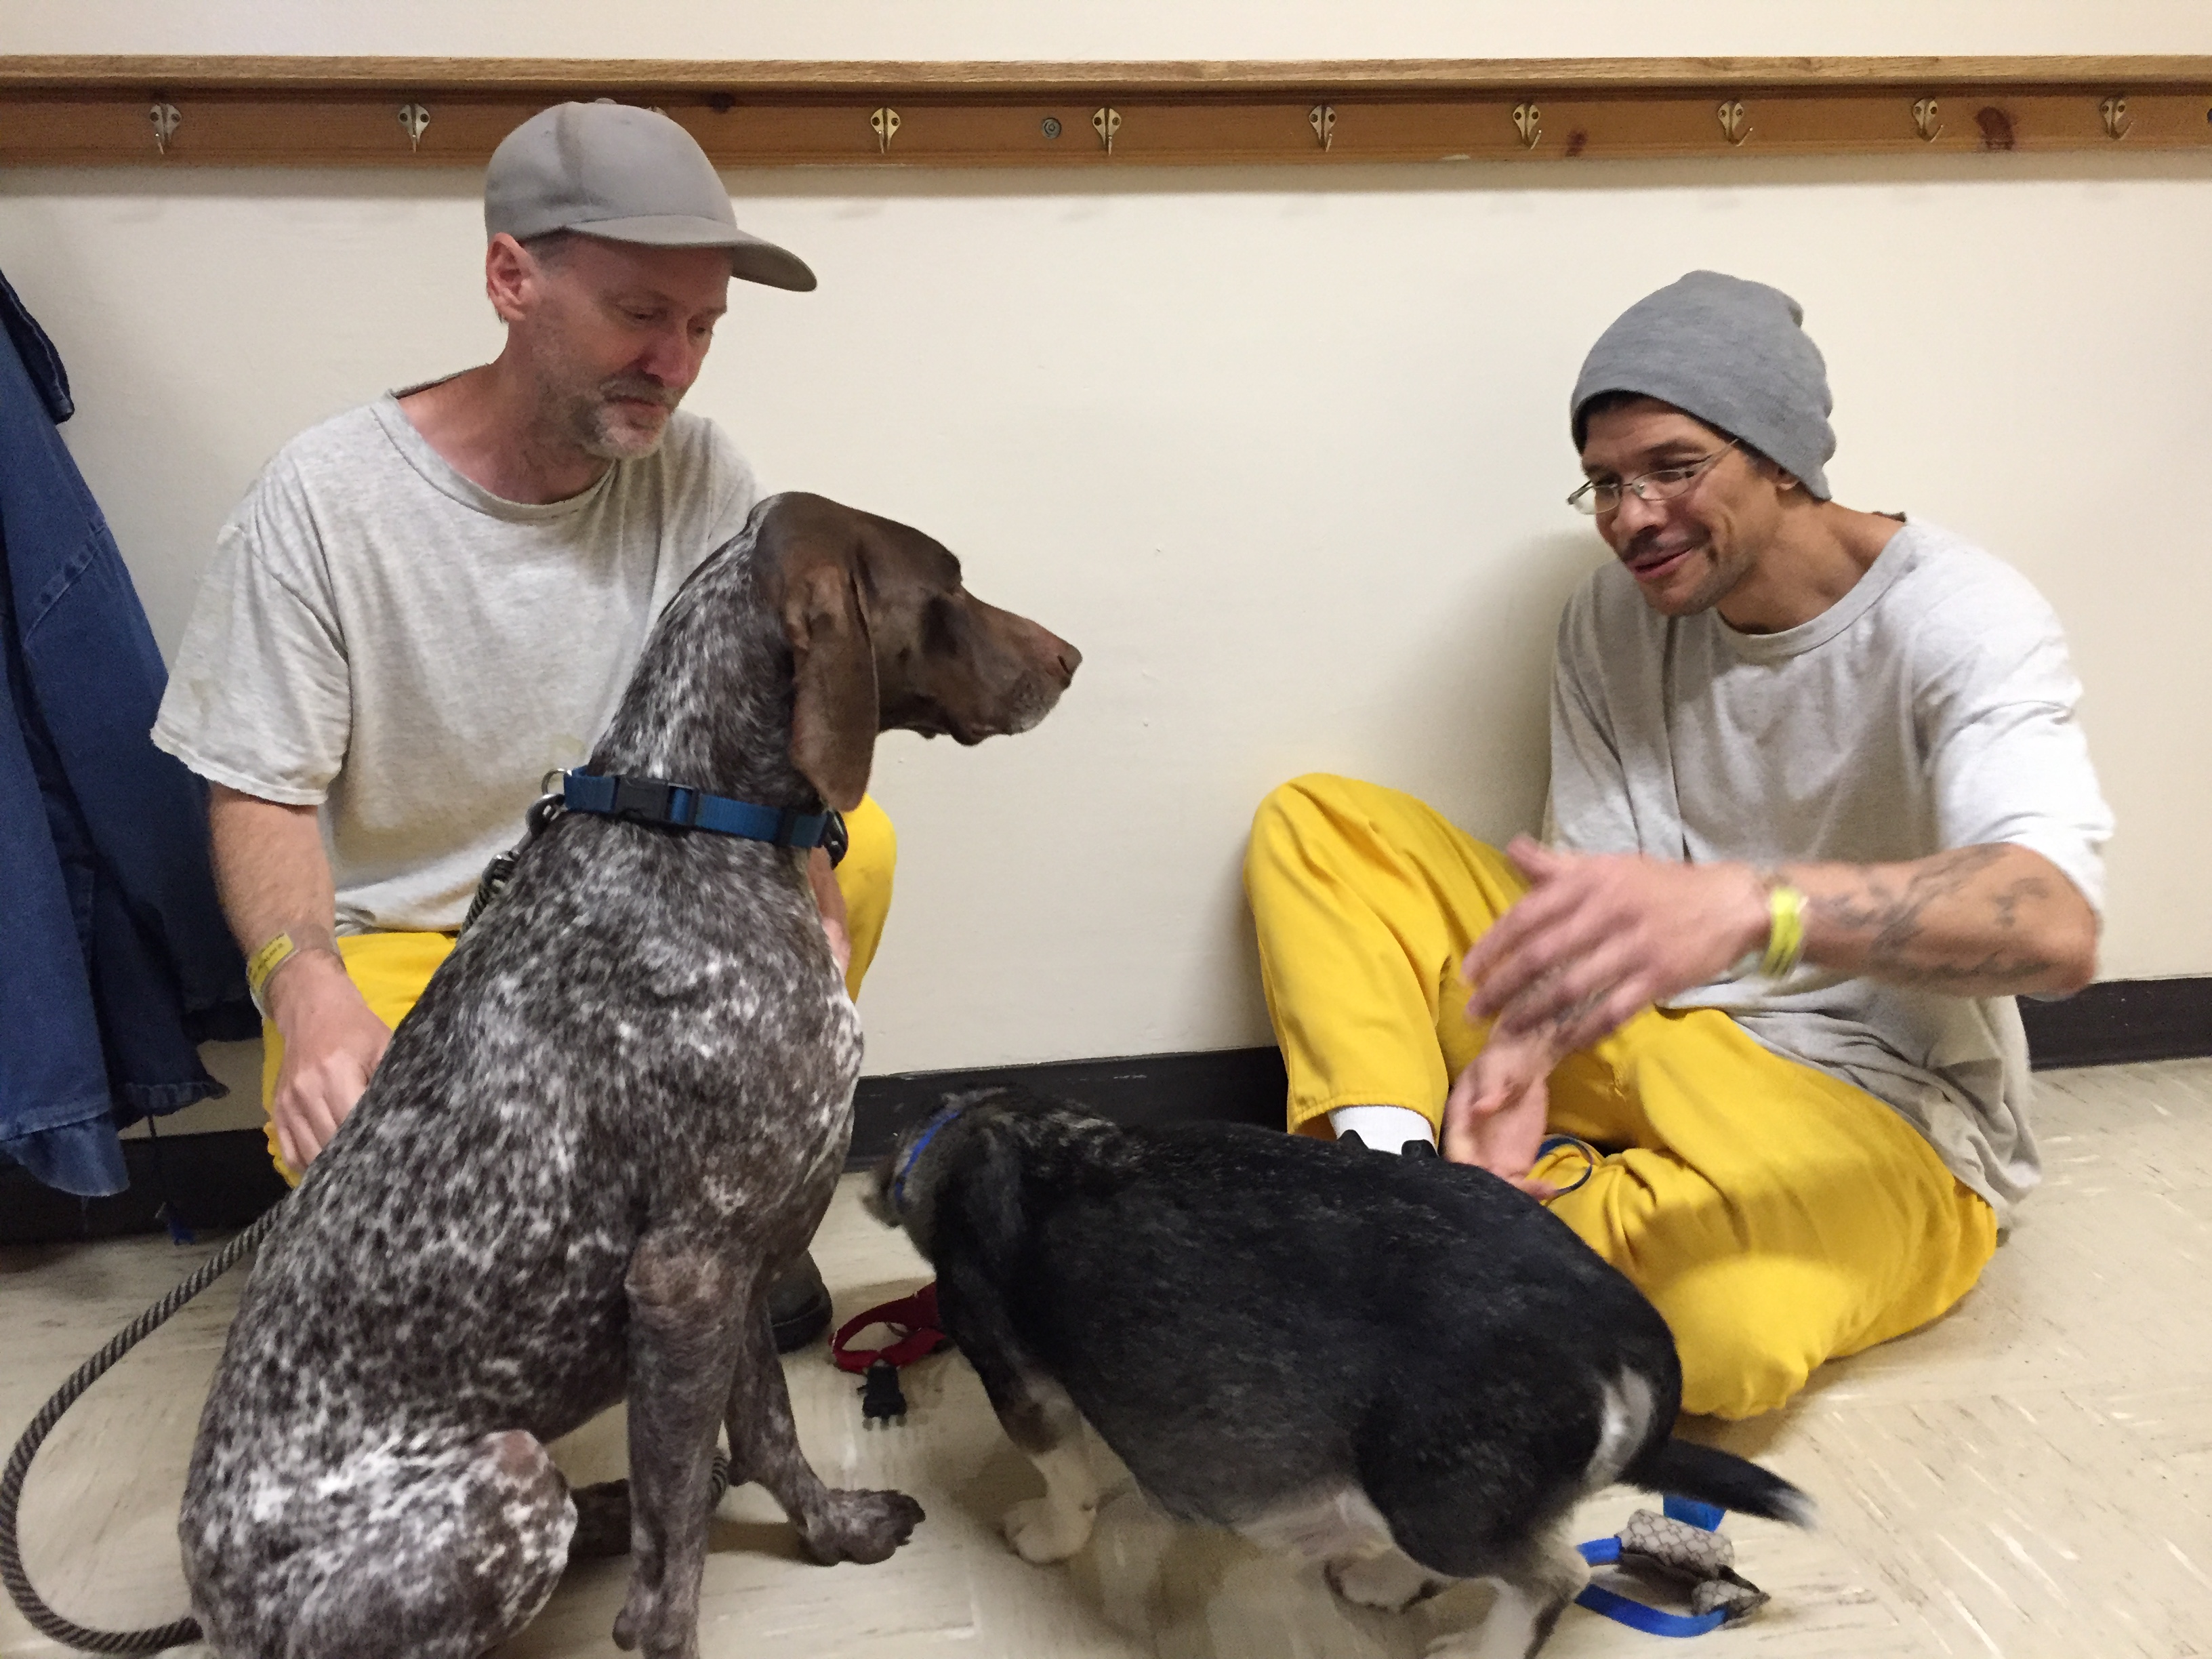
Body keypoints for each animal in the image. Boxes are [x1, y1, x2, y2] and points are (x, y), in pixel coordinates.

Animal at [181, 493, 1079, 1659]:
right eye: (949, 587)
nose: (1069, 658)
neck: (697, 818)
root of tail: (208, 1608)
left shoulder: (741, 1261)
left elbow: (771, 1432)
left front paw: (832, 1530)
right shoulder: (688, 1275)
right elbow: (673, 1560)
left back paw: (604, 1510)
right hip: (505, 1479)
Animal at [862, 1092, 1814, 1659]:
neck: (990, 1132)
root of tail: (1617, 1318)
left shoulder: (1018, 1380)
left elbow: (1063, 1479)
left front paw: (1047, 1534)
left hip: (1434, 1495)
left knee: (1549, 1580)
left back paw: (1475, 1649)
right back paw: (1383, 1583)